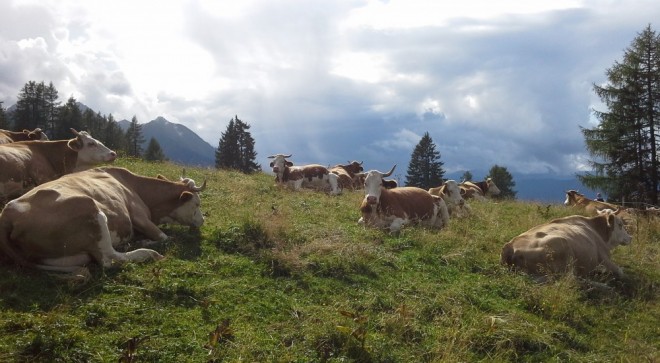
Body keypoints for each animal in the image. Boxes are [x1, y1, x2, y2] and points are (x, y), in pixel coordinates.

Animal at [0, 166, 205, 272]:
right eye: (196, 203)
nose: (203, 221)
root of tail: (8, 213)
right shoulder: (139, 216)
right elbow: (166, 238)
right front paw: (148, 241)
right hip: (90, 208)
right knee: (109, 259)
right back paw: (147, 252)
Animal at [500, 213, 636, 278]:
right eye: (620, 225)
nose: (630, 237)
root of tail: (510, 246)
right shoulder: (604, 257)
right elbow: (620, 271)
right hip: (564, 248)